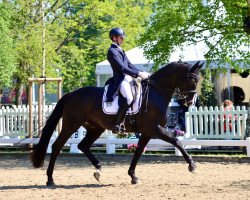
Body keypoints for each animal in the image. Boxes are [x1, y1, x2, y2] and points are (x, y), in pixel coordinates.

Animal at [30, 61, 203, 186]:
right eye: (192, 79)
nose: (191, 101)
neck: (155, 93)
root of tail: (71, 94)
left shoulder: (147, 132)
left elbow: (138, 152)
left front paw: (133, 176)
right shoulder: (154, 129)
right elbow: (176, 141)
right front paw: (192, 166)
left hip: (96, 128)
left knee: (83, 146)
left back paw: (98, 170)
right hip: (71, 125)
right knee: (57, 146)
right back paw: (50, 179)